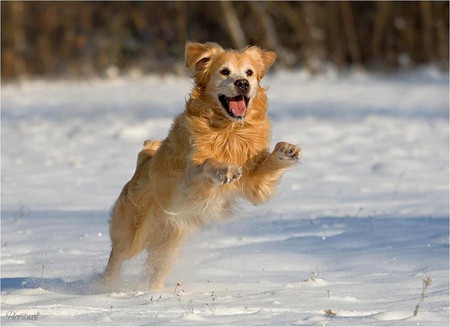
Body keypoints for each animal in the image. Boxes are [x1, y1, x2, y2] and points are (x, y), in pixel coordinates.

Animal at [100, 42, 300, 290]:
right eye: (224, 71)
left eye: (249, 73)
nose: (242, 84)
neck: (229, 131)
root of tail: (143, 160)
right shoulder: (189, 183)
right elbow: (206, 163)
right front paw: (224, 169)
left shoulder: (254, 183)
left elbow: (265, 168)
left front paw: (286, 151)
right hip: (131, 230)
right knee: (117, 256)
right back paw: (103, 287)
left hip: (169, 245)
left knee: (155, 272)